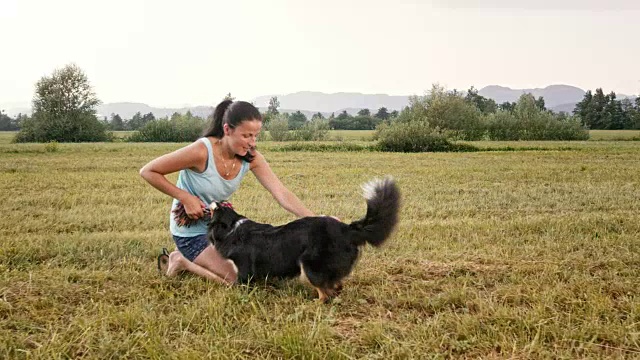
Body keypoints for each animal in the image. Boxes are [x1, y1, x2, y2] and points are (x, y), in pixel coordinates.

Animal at [206, 176, 400, 300]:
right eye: (222, 205)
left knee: (325, 294)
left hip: (310, 265)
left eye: (217, 208)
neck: (232, 227)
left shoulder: (244, 270)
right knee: (335, 286)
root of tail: (346, 229)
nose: (214, 199)